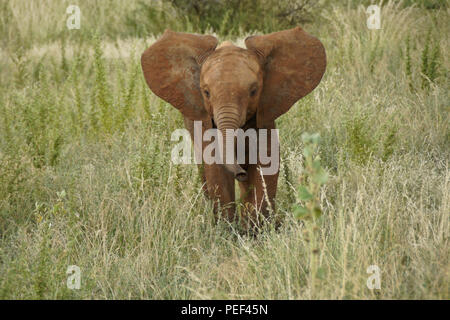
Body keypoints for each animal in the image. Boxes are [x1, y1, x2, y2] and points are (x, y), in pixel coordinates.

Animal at [140, 26, 324, 228]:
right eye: (206, 92)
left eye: (253, 91)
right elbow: (215, 165)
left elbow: (265, 162)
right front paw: (228, 228)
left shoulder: (265, 113)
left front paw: (255, 228)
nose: (240, 173)